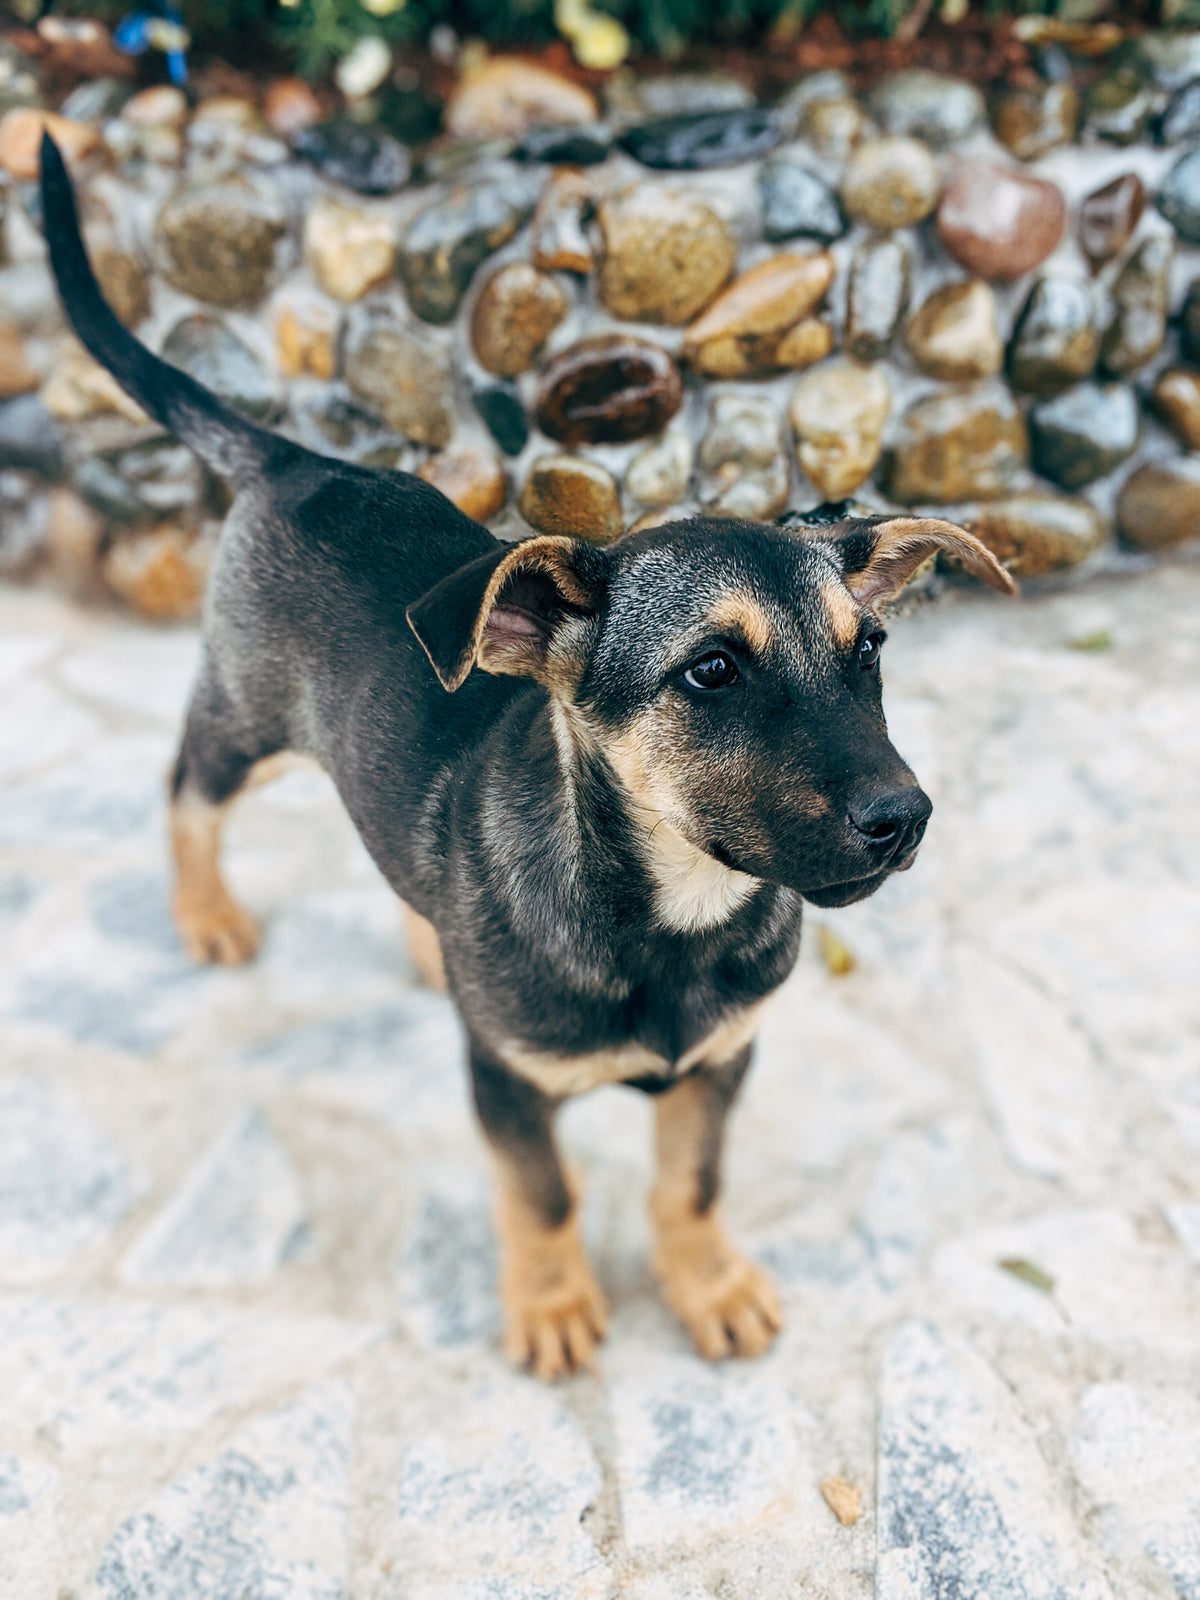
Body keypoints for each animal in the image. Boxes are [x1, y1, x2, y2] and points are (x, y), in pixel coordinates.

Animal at [37, 137, 1017, 1376]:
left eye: (871, 650)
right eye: (710, 670)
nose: (906, 816)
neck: (669, 914)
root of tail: (300, 462)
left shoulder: (724, 1061)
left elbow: (691, 1185)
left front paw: (708, 1285)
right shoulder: (508, 1084)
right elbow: (544, 1196)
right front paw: (552, 1306)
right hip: (243, 722)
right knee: (184, 794)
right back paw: (207, 911)